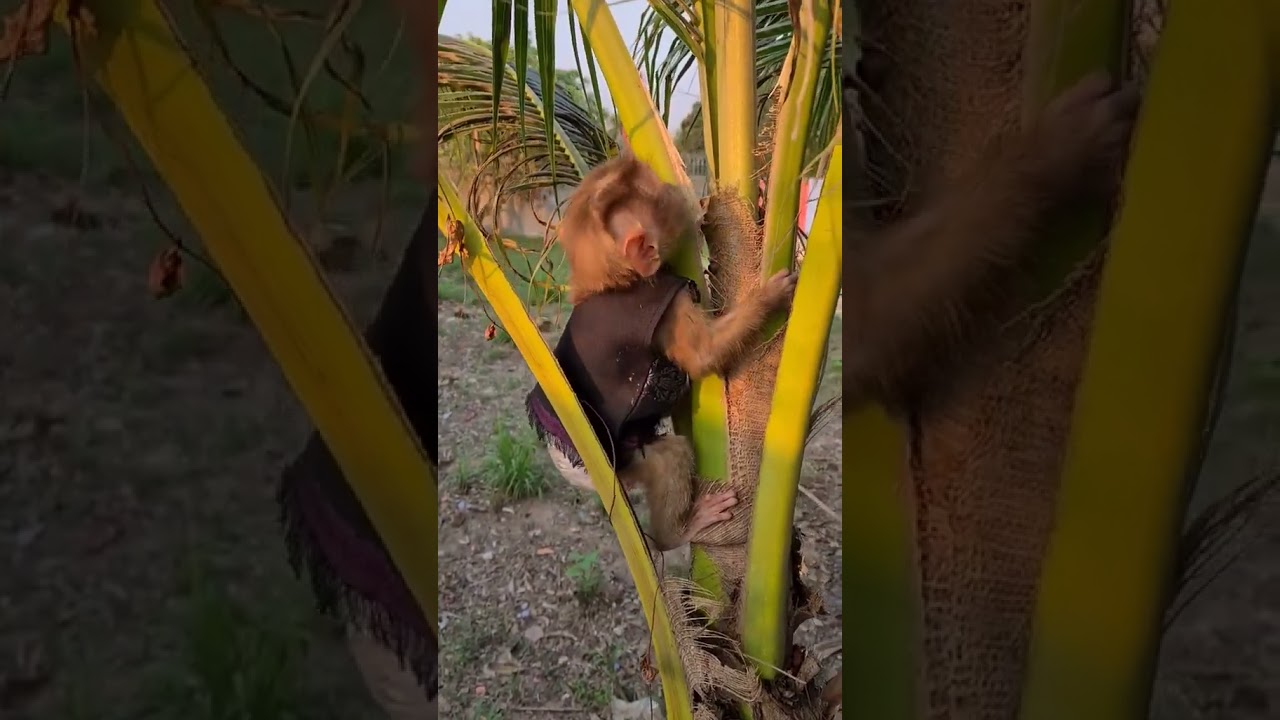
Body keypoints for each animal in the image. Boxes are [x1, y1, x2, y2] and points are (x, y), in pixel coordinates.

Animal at [525, 155, 798, 552]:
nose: (696, 205)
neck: (612, 283)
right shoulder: (669, 302)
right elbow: (702, 355)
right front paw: (770, 297)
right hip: (606, 465)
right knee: (671, 458)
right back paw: (678, 533)